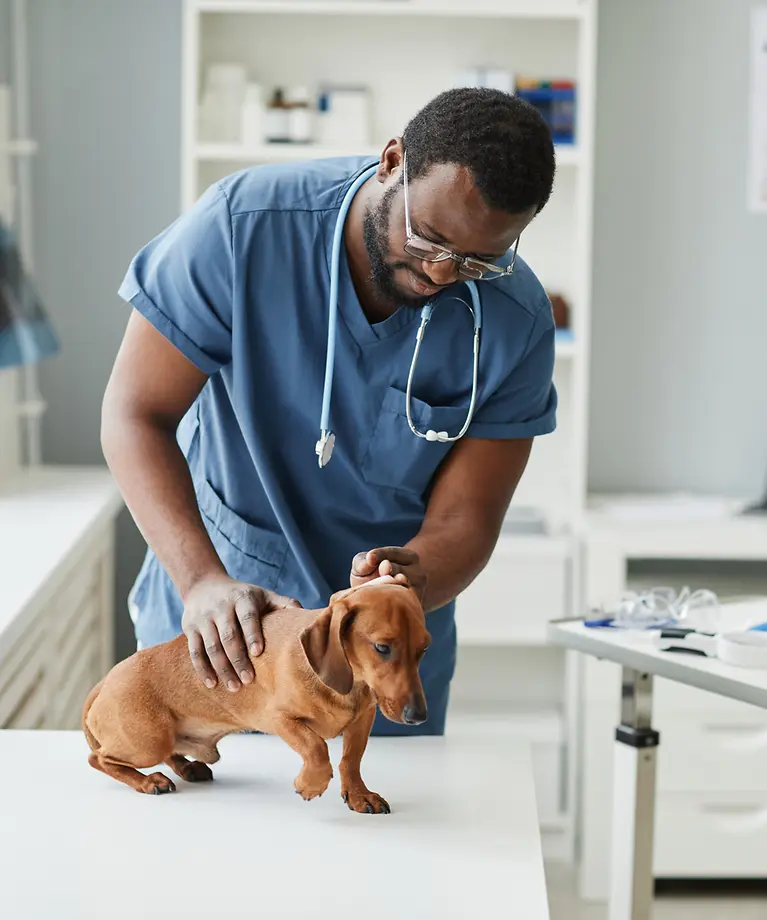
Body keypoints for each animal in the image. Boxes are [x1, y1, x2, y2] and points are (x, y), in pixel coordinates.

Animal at [85, 572, 432, 816]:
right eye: (382, 648)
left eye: (424, 649)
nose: (418, 717)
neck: (346, 685)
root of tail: (104, 682)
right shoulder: (279, 719)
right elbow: (316, 748)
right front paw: (310, 784)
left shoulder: (363, 720)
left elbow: (350, 760)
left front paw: (359, 795)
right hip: (149, 742)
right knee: (98, 758)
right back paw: (147, 781)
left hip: (163, 738)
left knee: (168, 753)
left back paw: (188, 768)